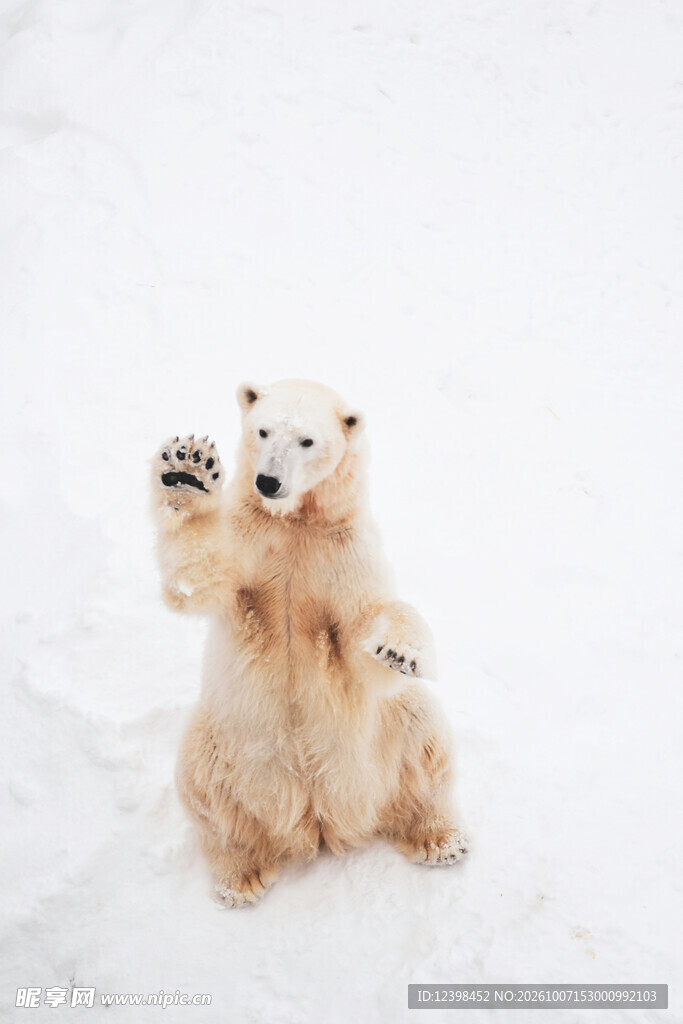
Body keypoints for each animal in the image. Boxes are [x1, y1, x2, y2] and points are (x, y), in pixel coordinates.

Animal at [151, 378, 468, 906]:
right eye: (262, 430)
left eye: (307, 441)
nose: (267, 482)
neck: (295, 522)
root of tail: (316, 819)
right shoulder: (249, 537)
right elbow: (200, 578)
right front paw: (187, 472)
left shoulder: (343, 548)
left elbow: (366, 631)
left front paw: (399, 651)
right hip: (226, 738)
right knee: (206, 787)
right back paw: (240, 876)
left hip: (378, 746)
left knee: (421, 730)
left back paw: (441, 838)